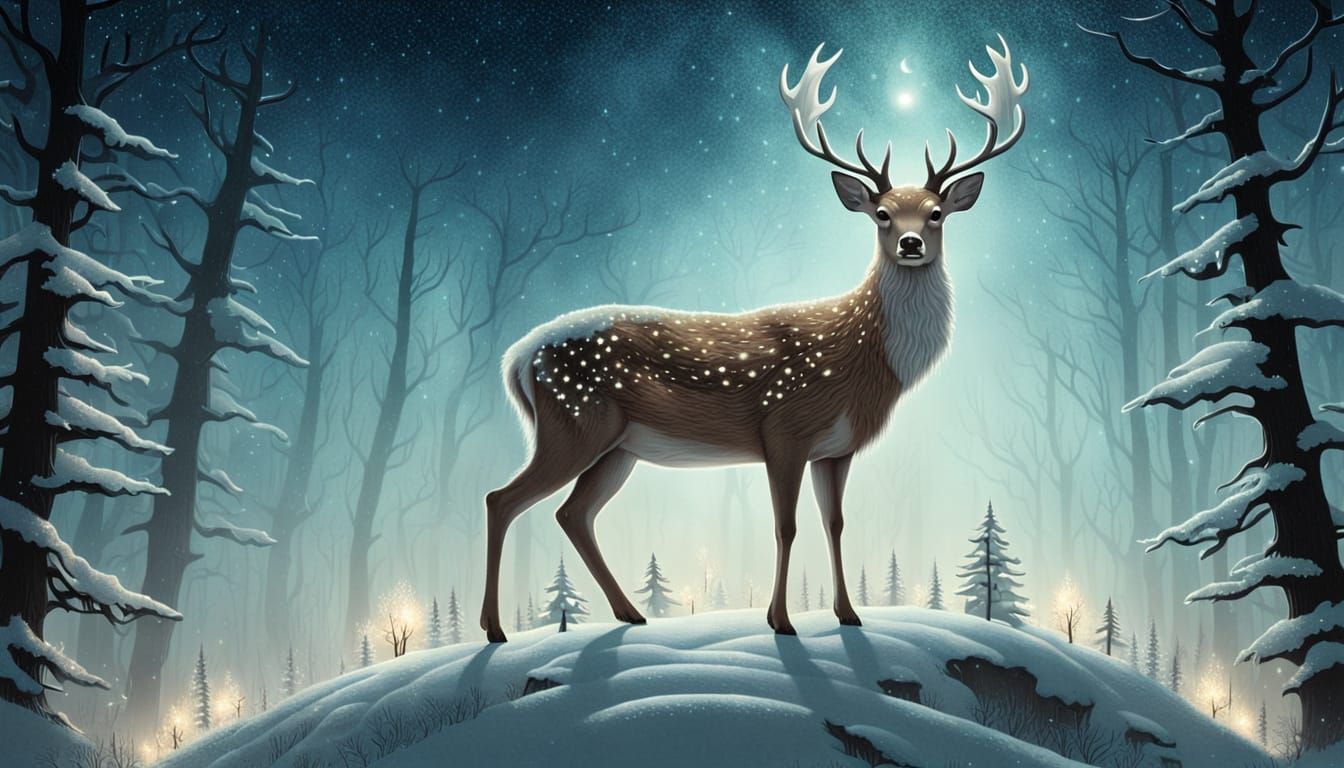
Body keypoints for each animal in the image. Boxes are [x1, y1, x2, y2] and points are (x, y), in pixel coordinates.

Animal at [480, 37, 1028, 642]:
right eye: (882, 214)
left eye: (935, 214)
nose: (911, 243)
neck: (864, 359)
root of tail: (517, 358)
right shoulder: (783, 429)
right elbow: (785, 526)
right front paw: (781, 621)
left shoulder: (836, 449)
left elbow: (835, 524)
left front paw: (848, 614)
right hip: (573, 422)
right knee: (501, 499)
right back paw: (495, 630)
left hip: (616, 446)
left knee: (572, 514)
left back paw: (629, 613)